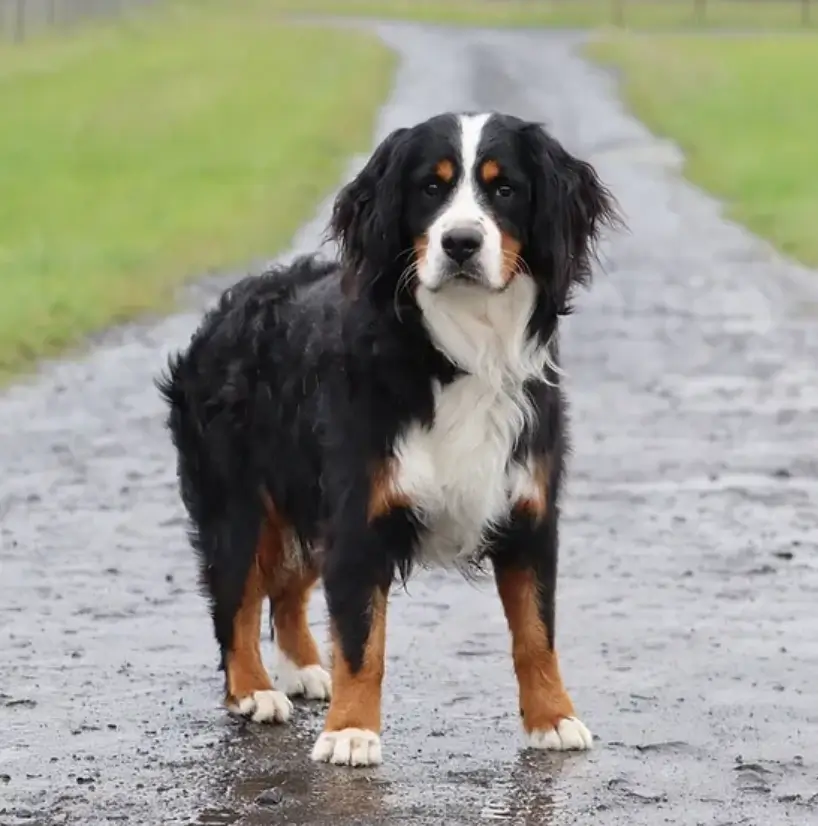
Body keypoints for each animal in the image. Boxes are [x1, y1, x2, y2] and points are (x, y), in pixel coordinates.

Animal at [158, 111, 620, 768]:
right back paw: (253, 690)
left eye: (504, 188)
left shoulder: (529, 515)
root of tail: (228, 307)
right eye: (431, 187)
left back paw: (304, 669)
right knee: (235, 599)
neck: (461, 351)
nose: (460, 243)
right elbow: (361, 639)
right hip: (238, 501)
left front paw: (553, 719)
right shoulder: (359, 517)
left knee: (287, 589)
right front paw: (351, 731)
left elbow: (536, 632)